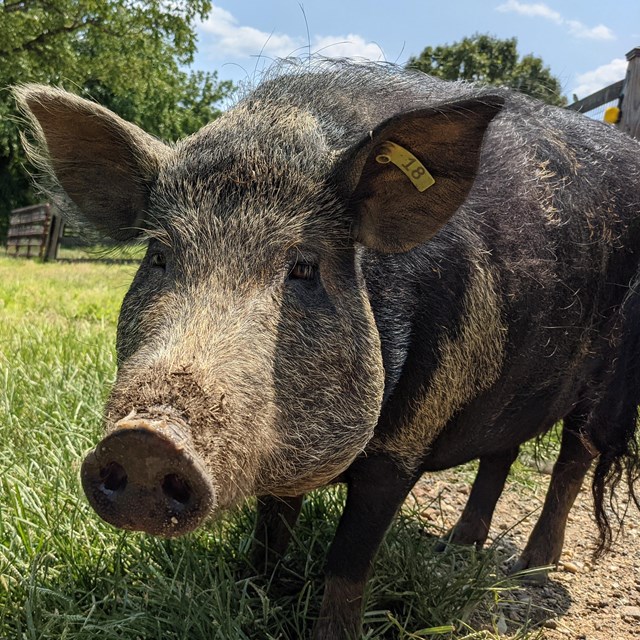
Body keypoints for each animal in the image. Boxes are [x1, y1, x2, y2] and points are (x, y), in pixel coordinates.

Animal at [17, 61, 640, 640]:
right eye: (158, 256)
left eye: (304, 268)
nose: (146, 440)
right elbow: (271, 530)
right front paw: (255, 592)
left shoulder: (405, 441)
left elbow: (347, 561)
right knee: (502, 451)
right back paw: (456, 549)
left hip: (607, 390)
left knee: (572, 461)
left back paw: (529, 568)